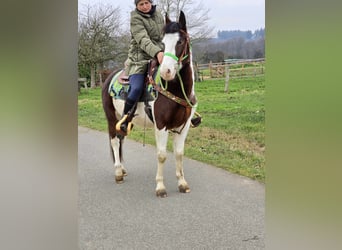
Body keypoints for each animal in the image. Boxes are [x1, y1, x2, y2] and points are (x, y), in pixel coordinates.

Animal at [101, 11, 198, 197]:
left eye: (180, 41)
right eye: (163, 43)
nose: (167, 71)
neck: (175, 91)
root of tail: (109, 76)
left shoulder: (183, 126)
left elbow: (179, 154)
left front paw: (182, 183)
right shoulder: (161, 126)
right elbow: (161, 155)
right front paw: (160, 187)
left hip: (124, 120)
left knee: (121, 137)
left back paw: (122, 169)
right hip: (111, 117)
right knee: (114, 141)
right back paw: (118, 172)